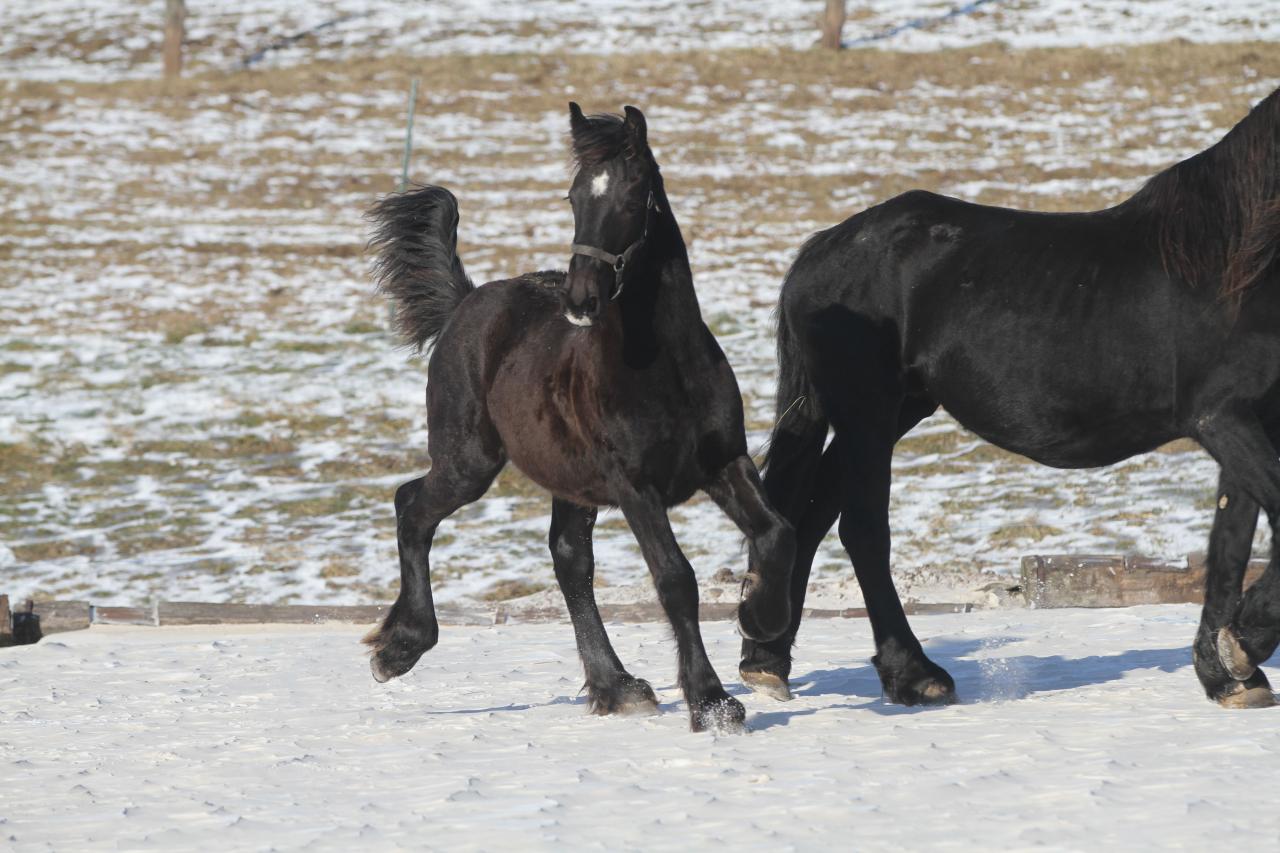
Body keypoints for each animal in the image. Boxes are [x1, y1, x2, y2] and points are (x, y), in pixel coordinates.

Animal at [360, 104, 793, 732]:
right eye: (573, 196)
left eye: (634, 195)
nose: (582, 297)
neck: (662, 365)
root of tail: (465, 303)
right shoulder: (635, 486)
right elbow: (675, 579)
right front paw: (712, 703)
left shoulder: (724, 463)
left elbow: (776, 532)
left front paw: (759, 619)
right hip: (470, 462)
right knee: (412, 507)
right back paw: (399, 648)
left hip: (567, 481)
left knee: (568, 559)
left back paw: (617, 686)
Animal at [742, 87, 1280, 712]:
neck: (1237, 261)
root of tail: (818, 252)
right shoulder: (1221, 418)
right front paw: (1242, 647)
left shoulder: (1246, 420)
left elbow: (1229, 545)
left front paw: (1228, 670)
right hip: (868, 415)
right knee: (862, 530)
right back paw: (914, 674)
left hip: (894, 410)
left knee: (811, 516)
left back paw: (767, 660)